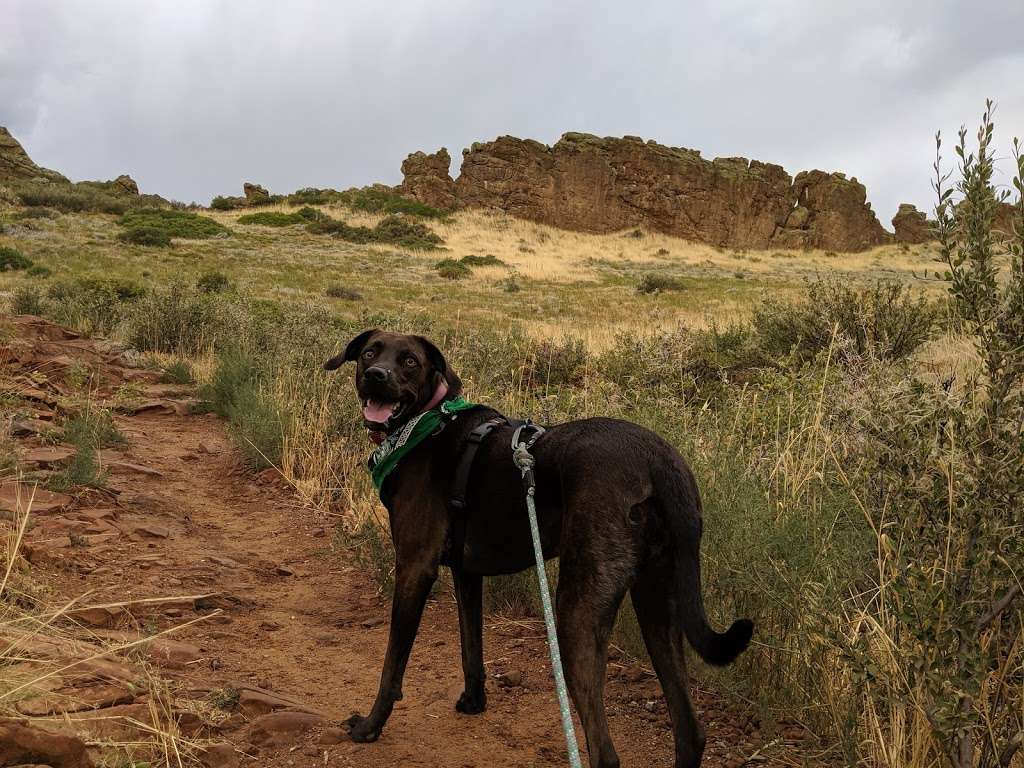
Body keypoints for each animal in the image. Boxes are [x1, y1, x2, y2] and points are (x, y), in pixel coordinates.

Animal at [325, 329, 753, 768]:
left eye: (410, 361)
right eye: (370, 353)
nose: (376, 376)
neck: (423, 426)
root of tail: (660, 461)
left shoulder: (414, 566)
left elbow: (392, 663)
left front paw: (369, 726)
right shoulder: (467, 573)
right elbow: (470, 646)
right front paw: (474, 701)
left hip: (575, 610)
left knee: (605, 753)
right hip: (658, 600)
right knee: (690, 731)